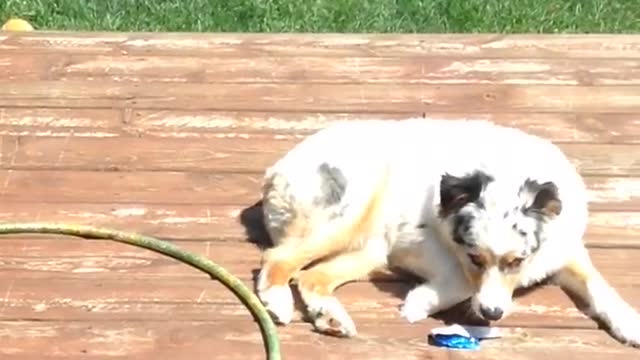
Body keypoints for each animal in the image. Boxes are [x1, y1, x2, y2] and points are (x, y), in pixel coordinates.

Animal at [255, 117, 640, 346]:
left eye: (517, 261)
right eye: (475, 258)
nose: (492, 315)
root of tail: (274, 170)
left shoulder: (565, 250)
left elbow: (600, 287)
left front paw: (630, 323)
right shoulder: (417, 244)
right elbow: (462, 281)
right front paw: (420, 302)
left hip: (368, 249)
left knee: (311, 278)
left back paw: (330, 318)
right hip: (354, 209)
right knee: (279, 259)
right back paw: (278, 302)